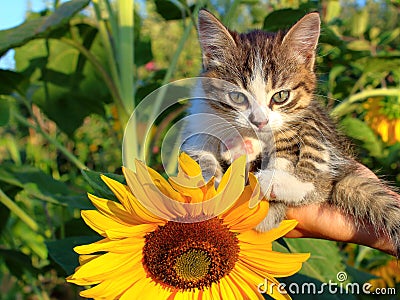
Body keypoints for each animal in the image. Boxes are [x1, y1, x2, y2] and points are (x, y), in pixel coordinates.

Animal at [181, 8, 400, 253]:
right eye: (237, 97)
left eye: (281, 96)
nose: (259, 122)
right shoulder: (198, 120)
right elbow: (198, 153)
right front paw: (209, 180)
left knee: (320, 184)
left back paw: (270, 183)